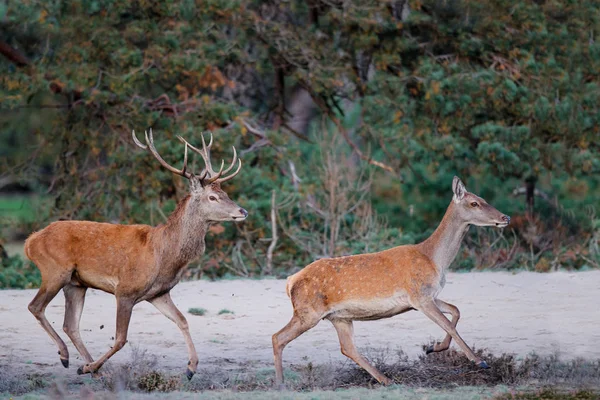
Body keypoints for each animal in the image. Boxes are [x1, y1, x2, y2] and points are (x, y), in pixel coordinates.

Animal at [25, 130, 246, 380]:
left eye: (224, 193)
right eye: (212, 197)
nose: (243, 211)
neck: (164, 255)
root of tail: (30, 241)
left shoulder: (159, 293)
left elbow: (183, 320)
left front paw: (191, 368)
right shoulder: (125, 290)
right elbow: (121, 339)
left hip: (76, 283)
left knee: (70, 324)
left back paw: (90, 368)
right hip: (55, 271)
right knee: (36, 306)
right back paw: (71, 358)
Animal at [272, 177, 510, 386]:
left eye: (483, 198)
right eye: (474, 203)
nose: (505, 217)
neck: (435, 259)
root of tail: (290, 281)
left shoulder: (426, 297)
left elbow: (456, 311)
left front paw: (432, 348)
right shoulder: (419, 296)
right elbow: (450, 325)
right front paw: (480, 361)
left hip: (339, 317)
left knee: (347, 348)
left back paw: (385, 379)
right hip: (308, 311)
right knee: (278, 337)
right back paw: (281, 383)